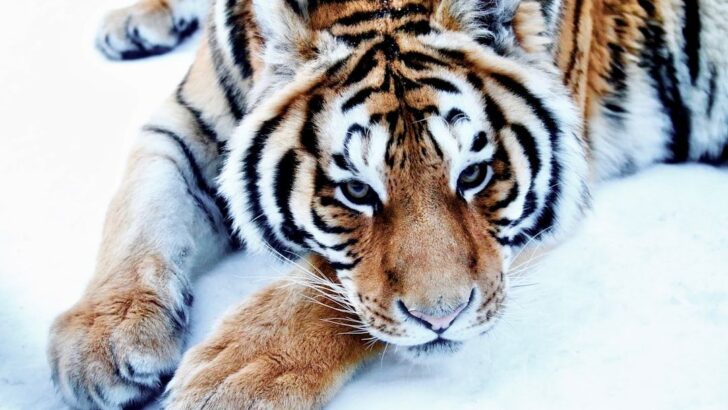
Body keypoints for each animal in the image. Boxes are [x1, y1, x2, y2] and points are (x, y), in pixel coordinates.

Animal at [48, 0, 728, 408]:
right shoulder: (187, 125)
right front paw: (101, 341)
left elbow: (321, 288)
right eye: (355, 190)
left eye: (475, 174)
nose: (443, 319)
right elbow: (137, 213)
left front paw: (232, 377)